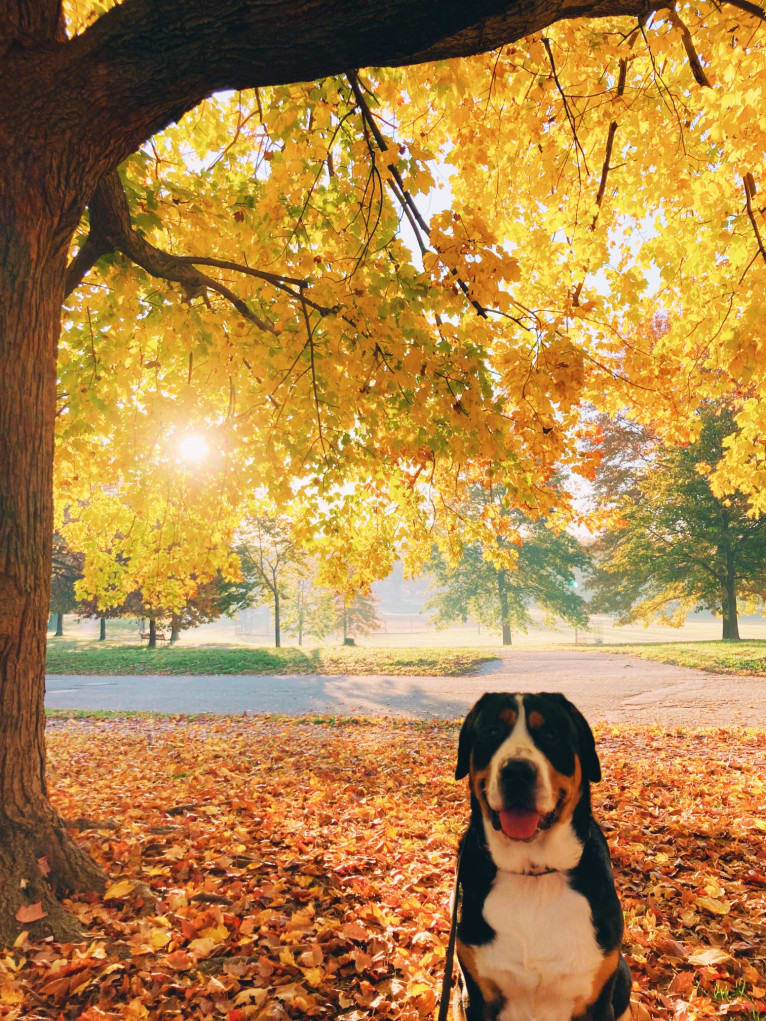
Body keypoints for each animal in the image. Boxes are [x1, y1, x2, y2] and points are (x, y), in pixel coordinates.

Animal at [453, 690, 633, 1021]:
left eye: (550, 733)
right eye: (492, 731)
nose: (517, 771)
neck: (533, 876)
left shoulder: (599, 998)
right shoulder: (476, 996)